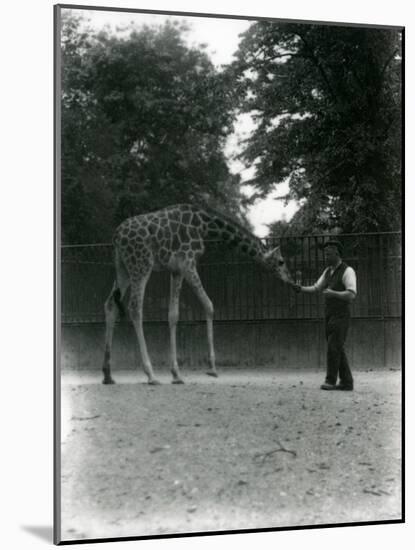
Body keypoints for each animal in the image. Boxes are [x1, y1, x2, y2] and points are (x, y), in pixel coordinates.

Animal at [101, 205, 296, 386]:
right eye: (281, 262)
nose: (290, 280)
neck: (204, 225)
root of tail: (116, 236)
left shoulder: (176, 270)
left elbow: (173, 315)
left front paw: (176, 374)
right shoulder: (187, 264)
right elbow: (209, 305)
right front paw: (212, 368)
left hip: (123, 268)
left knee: (110, 305)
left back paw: (108, 375)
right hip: (141, 265)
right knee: (135, 308)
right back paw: (151, 375)